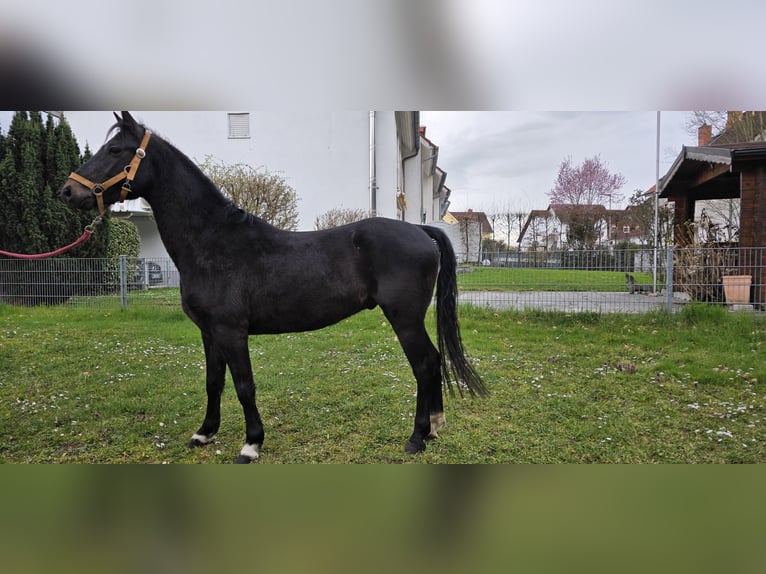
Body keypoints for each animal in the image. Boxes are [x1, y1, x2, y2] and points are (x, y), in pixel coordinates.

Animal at [61, 112, 487, 463]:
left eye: (115, 149)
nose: (68, 191)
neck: (213, 241)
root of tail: (419, 229)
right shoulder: (209, 333)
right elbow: (213, 383)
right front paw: (204, 434)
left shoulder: (232, 332)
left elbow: (244, 386)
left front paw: (251, 445)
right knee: (432, 362)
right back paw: (434, 428)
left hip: (404, 318)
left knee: (425, 363)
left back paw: (418, 436)